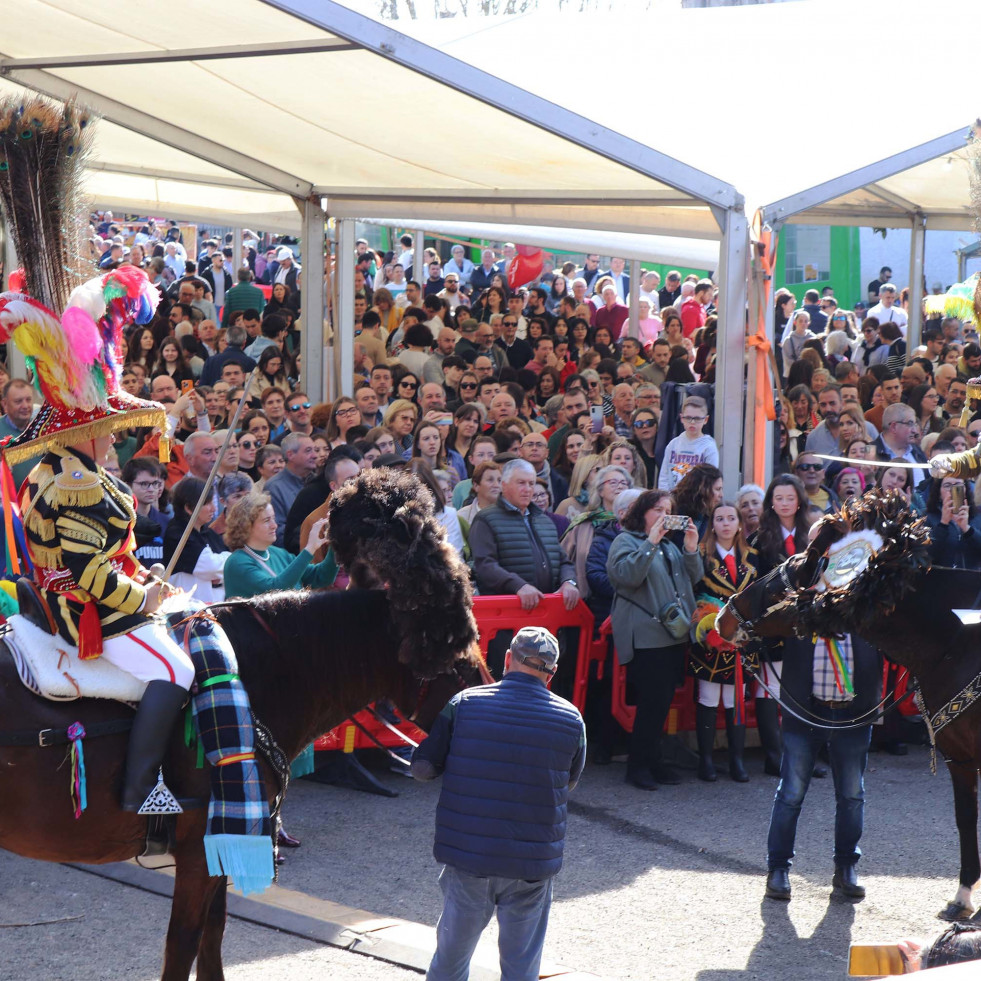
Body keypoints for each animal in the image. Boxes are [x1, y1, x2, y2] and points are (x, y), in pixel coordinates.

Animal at [0, 468, 482, 980]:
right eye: (456, 655)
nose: (495, 696)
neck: (255, 674)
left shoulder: (223, 843)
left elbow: (213, 937)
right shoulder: (200, 853)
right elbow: (184, 946)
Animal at [716, 494, 980, 924]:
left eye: (777, 585)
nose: (722, 618)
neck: (957, 640)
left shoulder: (963, 755)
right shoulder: (961, 756)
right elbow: (965, 819)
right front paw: (963, 897)